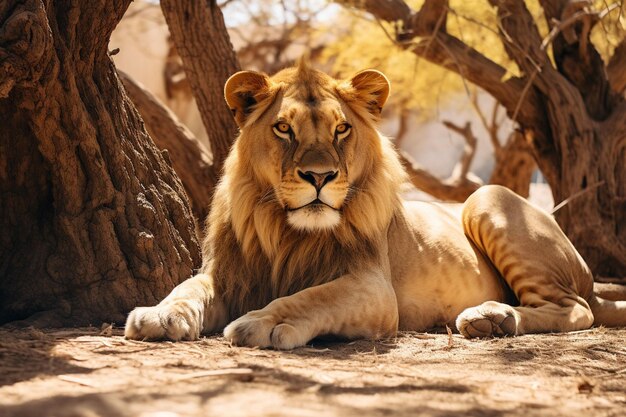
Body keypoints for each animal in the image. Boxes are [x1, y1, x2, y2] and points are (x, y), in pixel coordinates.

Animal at [124, 60, 624, 346]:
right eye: (284, 128)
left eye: (341, 129)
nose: (319, 177)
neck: (283, 229)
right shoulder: (227, 274)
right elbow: (186, 289)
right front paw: (160, 315)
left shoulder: (373, 287)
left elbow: (309, 296)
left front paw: (260, 322)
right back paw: (493, 320)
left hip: (487, 196)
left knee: (575, 308)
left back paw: (490, 316)